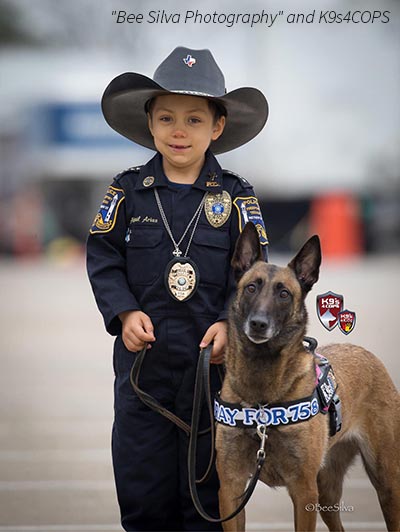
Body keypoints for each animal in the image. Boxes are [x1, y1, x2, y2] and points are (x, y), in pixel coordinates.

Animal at [216, 222, 400, 528]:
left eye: (284, 294)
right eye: (251, 288)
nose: (258, 324)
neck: (262, 397)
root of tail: (363, 351)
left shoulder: (303, 491)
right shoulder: (231, 489)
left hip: (385, 482)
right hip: (325, 491)